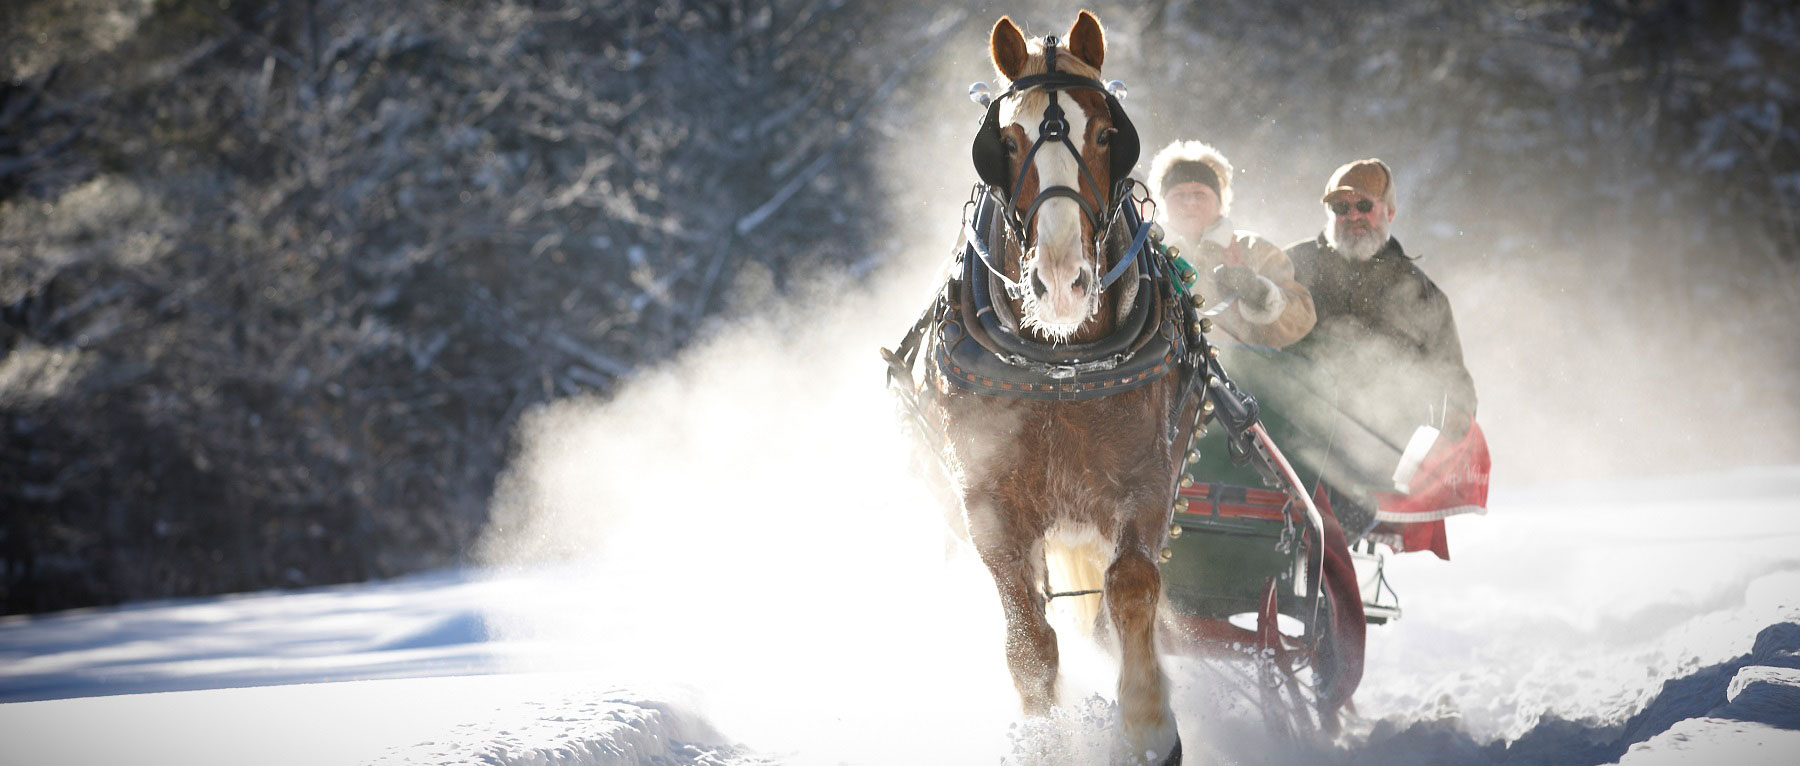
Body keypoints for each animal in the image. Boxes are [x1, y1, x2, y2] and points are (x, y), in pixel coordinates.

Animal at [885, 11, 1209, 766]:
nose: (1061, 282)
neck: (1061, 366)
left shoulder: (1146, 481)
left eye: (1108, 134)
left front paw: (1148, 729)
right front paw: (1049, 738)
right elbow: (1029, 640)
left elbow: (1131, 586)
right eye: (1004, 141)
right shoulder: (990, 504)